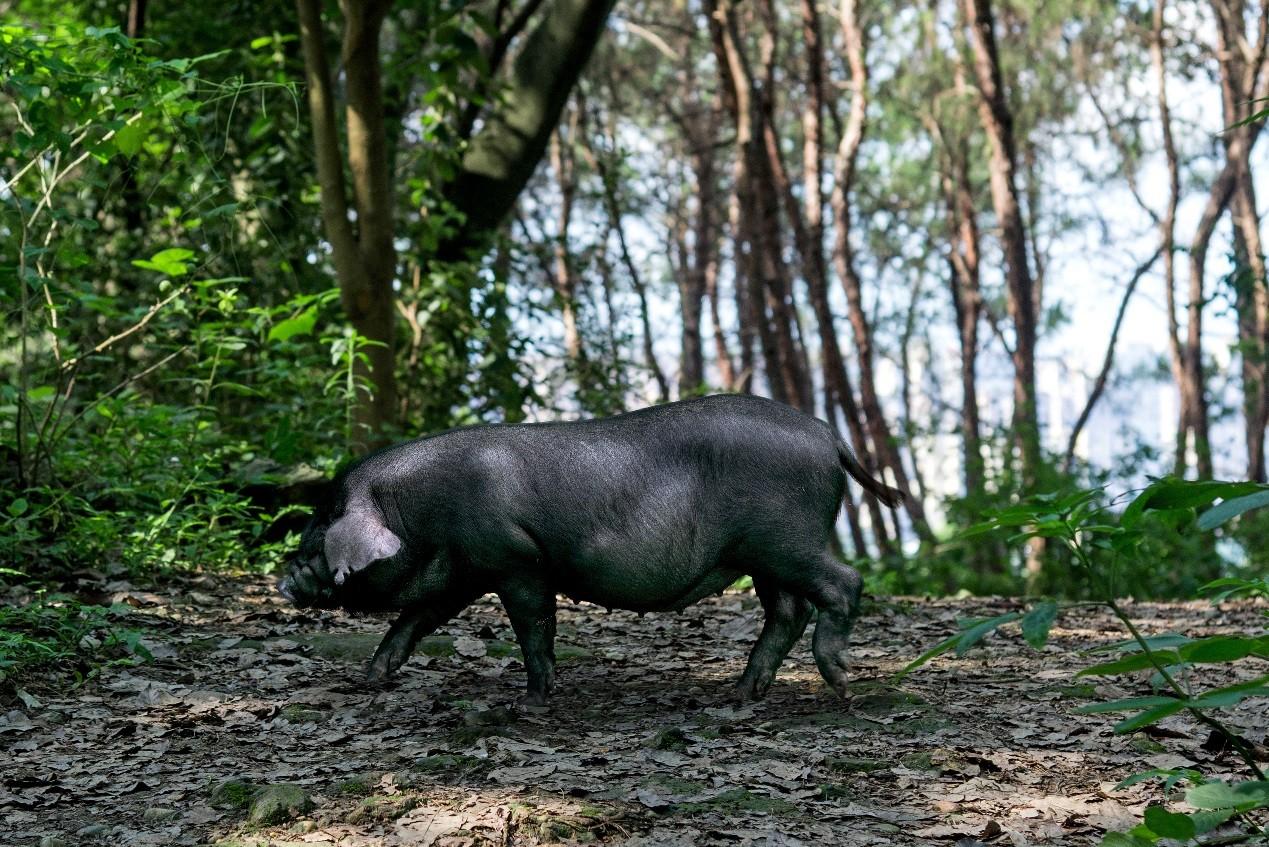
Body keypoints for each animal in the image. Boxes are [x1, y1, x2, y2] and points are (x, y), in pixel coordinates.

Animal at [275, 393, 903, 706]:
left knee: (843, 583)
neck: (417, 512)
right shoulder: (464, 571)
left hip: (784, 537)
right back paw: (739, 694)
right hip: (762, 554)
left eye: (322, 528)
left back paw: (840, 684)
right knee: (787, 610)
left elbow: (533, 625)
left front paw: (532, 702)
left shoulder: (516, 560)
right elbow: (413, 619)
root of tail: (829, 435)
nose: (283, 580)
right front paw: (371, 679)